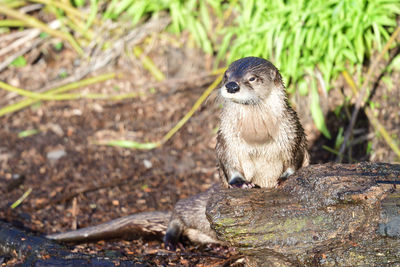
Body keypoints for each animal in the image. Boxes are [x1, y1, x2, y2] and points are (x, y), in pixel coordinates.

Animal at [216, 56, 310, 188]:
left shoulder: (293, 133)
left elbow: (295, 158)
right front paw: (240, 182)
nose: (231, 86)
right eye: (226, 75)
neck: (257, 137)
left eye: (252, 78)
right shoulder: (226, 138)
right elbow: (227, 162)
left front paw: (284, 178)